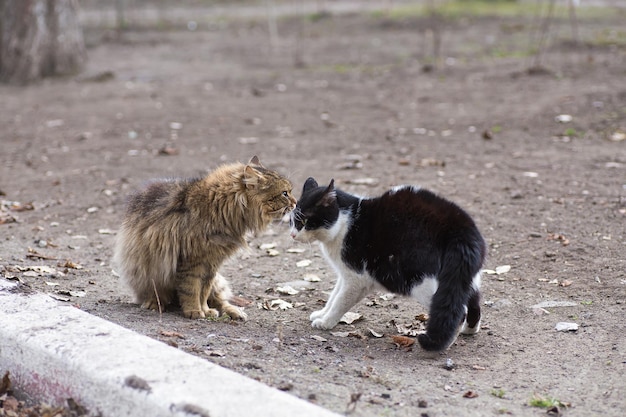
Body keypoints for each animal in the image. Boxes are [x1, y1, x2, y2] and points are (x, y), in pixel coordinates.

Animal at [114, 156, 294, 318]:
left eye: (289, 192)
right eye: (284, 193)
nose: (295, 203)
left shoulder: (212, 263)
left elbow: (203, 292)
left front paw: (205, 310)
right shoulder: (192, 261)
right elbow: (192, 289)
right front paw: (194, 311)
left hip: (217, 281)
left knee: (221, 301)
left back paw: (236, 312)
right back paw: (154, 304)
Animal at [290, 176, 486, 352]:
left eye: (303, 221)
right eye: (291, 220)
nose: (292, 234)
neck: (346, 223)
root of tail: (461, 228)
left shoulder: (356, 278)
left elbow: (340, 301)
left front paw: (326, 322)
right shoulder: (345, 274)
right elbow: (333, 296)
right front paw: (322, 313)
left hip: (422, 282)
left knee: (456, 311)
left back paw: (445, 345)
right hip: (464, 277)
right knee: (473, 302)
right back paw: (469, 330)